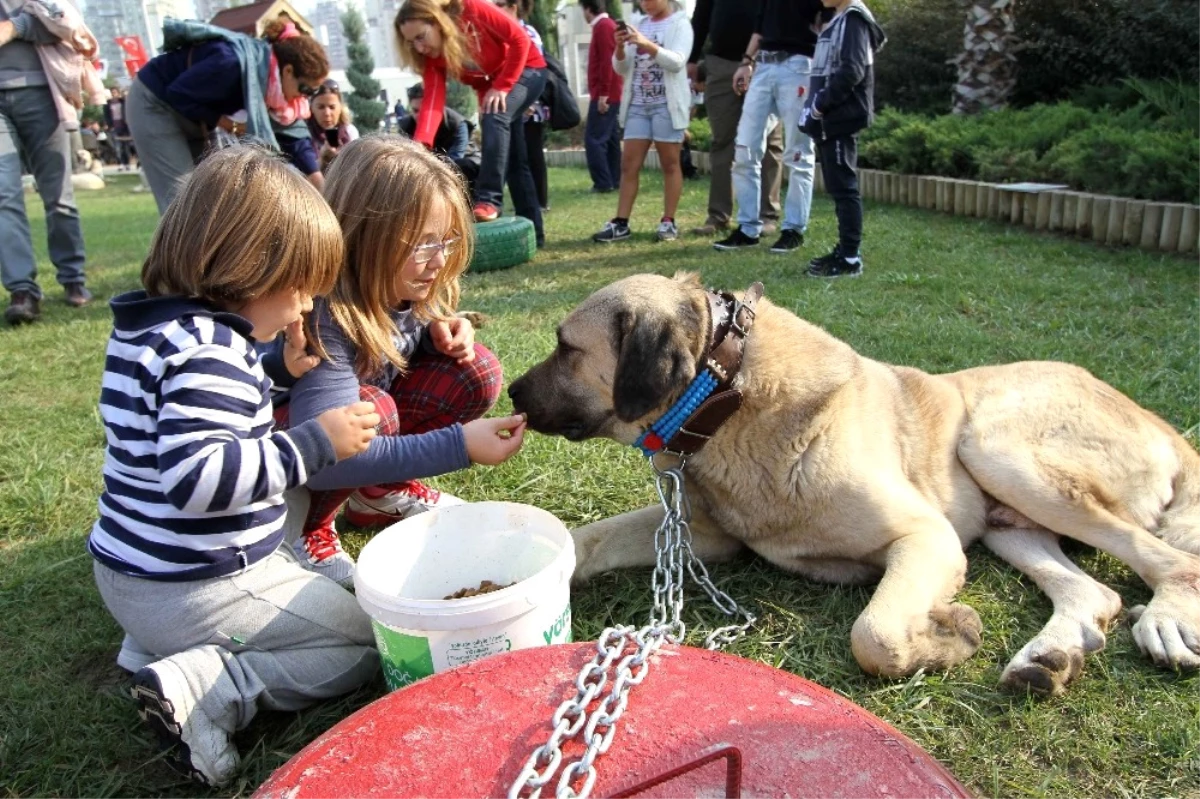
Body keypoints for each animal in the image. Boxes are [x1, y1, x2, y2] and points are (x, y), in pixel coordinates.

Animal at [506, 272, 1200, 691]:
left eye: (566, 347)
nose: (510, 391)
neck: (727, 394)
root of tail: (1163, 425)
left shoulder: (926, 538)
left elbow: (875, 635)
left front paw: (948, 637)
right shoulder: (704, 535)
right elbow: (589, 540)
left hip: (995, 447)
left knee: (1169, 561)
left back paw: (1165, 620)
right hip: (1009, 522)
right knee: (1094, 593)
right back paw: (1048, 658)